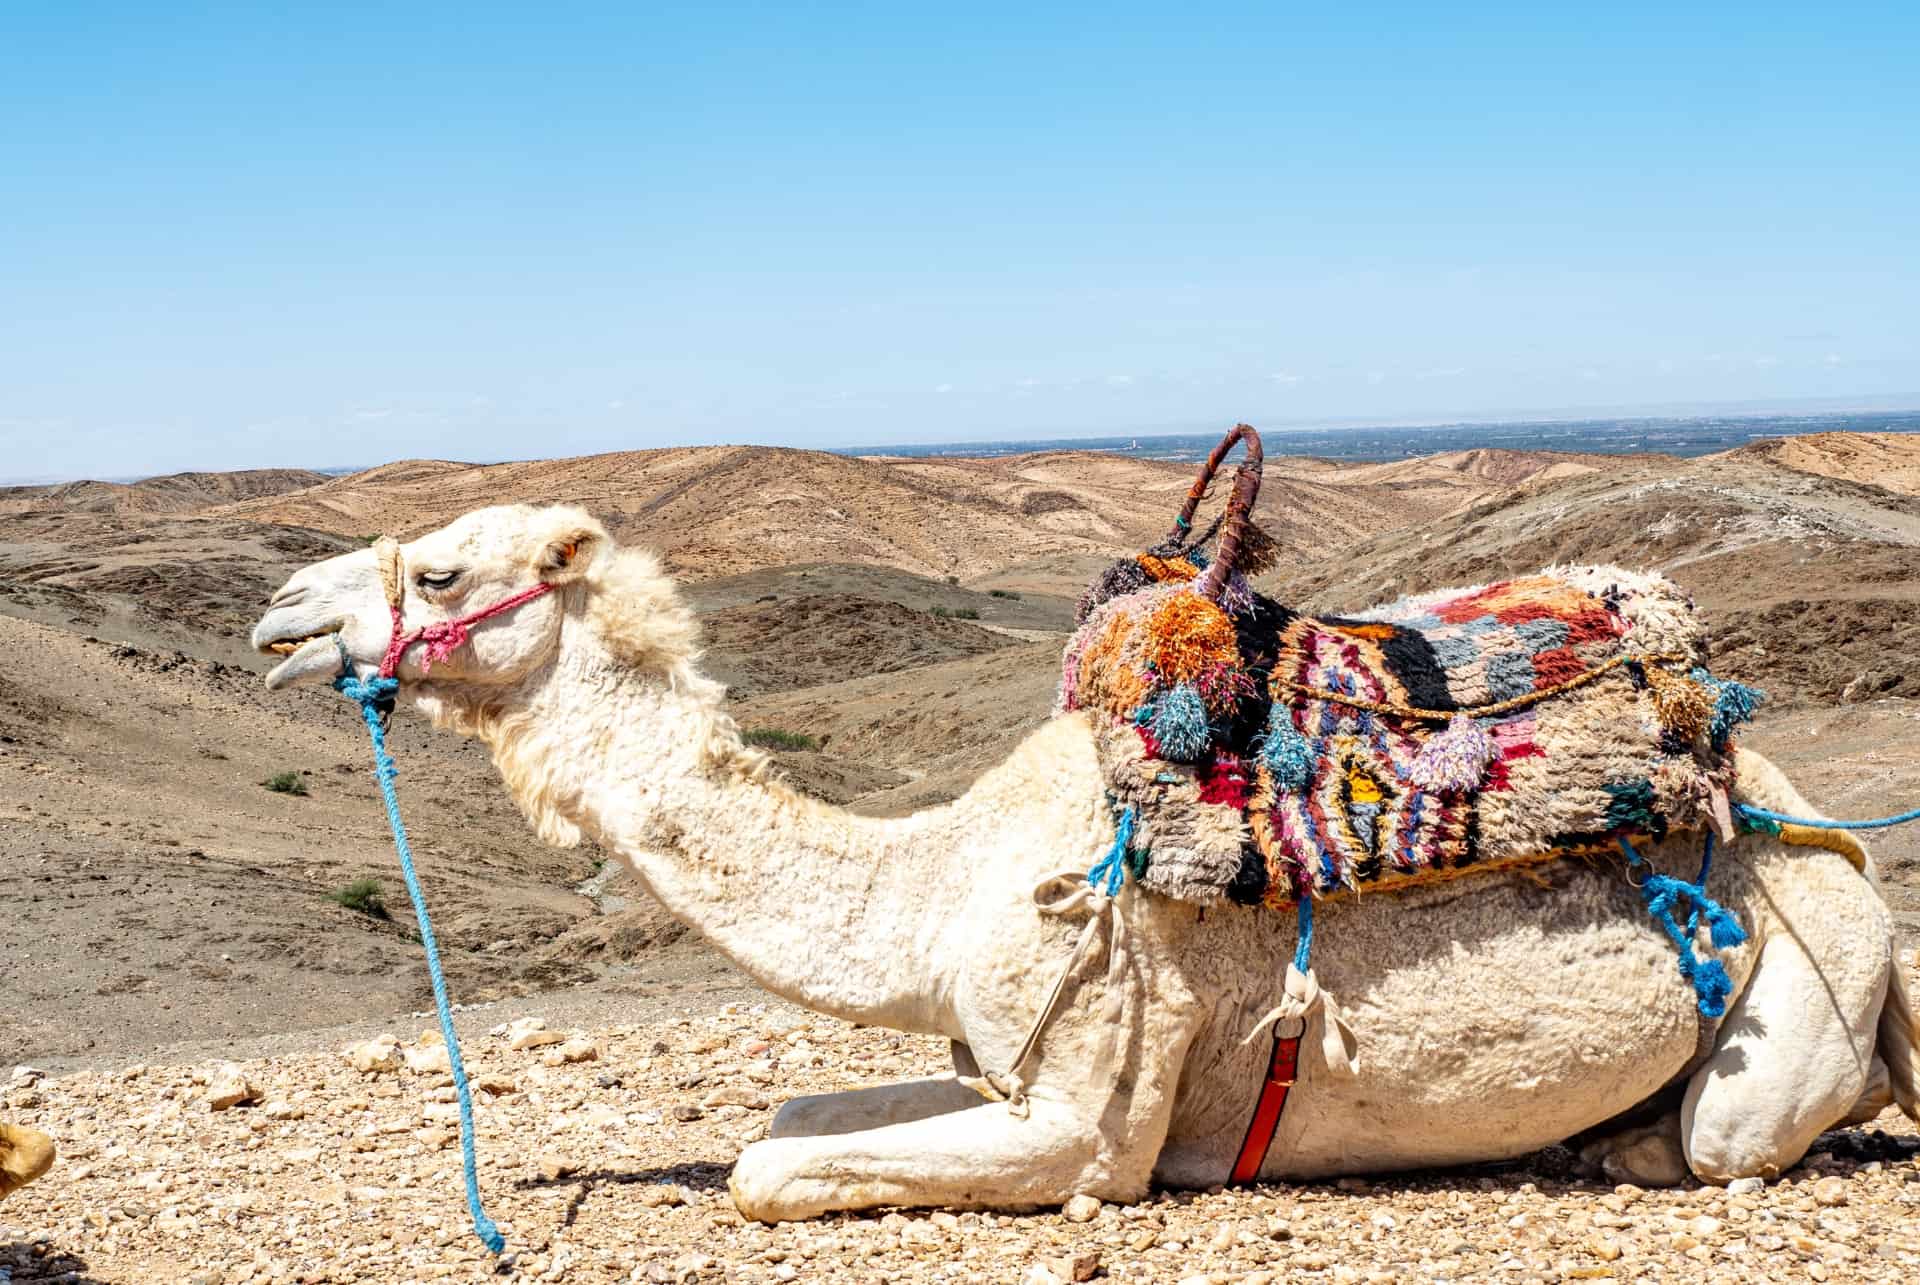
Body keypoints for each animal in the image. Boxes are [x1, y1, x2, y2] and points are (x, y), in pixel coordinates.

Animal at [251, 502, 1920, 1221]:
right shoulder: (995, 1053)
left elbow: (768, 1165)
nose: (279, 617)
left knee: (1732, 1134)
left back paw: (1621, 1149)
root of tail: (1823, 832)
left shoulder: (1087, 1112)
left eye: (439, 569)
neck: (931, 886)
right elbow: (795, 1112)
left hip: (1804, 971)